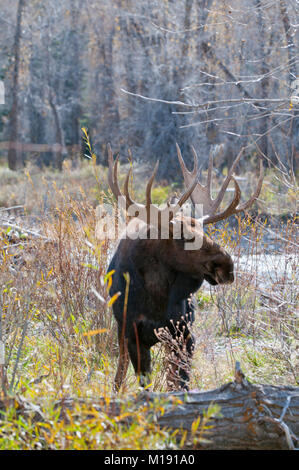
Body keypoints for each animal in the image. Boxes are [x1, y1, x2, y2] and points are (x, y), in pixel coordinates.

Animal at [106, 144, 264, 392]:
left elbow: (180, 383)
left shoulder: (184, 334)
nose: (228, 267)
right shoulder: (133, 334)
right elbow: (146, 385)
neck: (155, 297)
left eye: (204, 230)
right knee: (120, 371)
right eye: (184, 237)